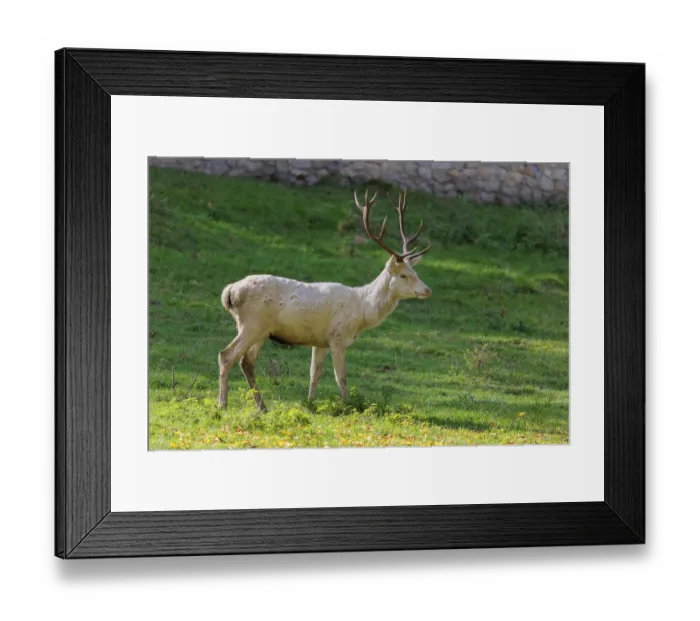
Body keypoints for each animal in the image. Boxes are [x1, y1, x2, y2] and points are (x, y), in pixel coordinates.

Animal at [217, 189, 432, 411]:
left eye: (415, 272)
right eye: (404, 275)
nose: (427, 290)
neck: (362, 311)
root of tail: (230, 292)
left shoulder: (320, 340)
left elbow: (314, 374)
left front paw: (311, 403)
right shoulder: (337, 336)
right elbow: (341, 376)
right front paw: (347, 405)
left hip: (261, 331)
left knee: (246, 362)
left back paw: (262, 406)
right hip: (252, 324)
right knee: (226, 355)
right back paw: (222, 404)